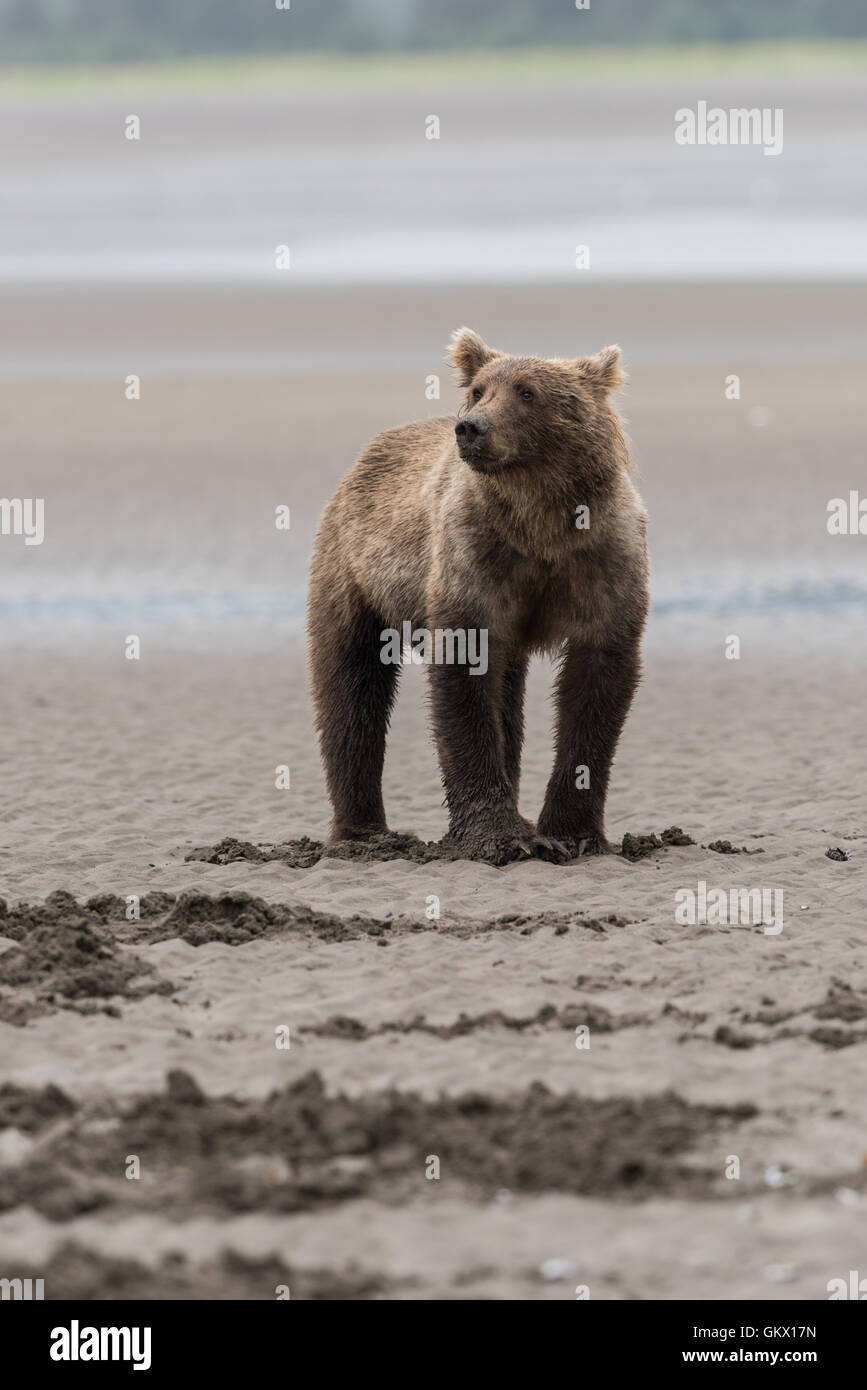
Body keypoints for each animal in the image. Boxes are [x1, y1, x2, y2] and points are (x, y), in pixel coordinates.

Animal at [308, 329, 647, 861]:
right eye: (478, 390)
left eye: (527, 391)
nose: (470, 428)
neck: (540, 525)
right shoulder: (474, 556)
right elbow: (464, 676)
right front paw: (499, 836)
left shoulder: (604, 559)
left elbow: (597, 683)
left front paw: (574, 833)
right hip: (351, 568)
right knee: (350, 682)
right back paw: (364, 834)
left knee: (506, 692)